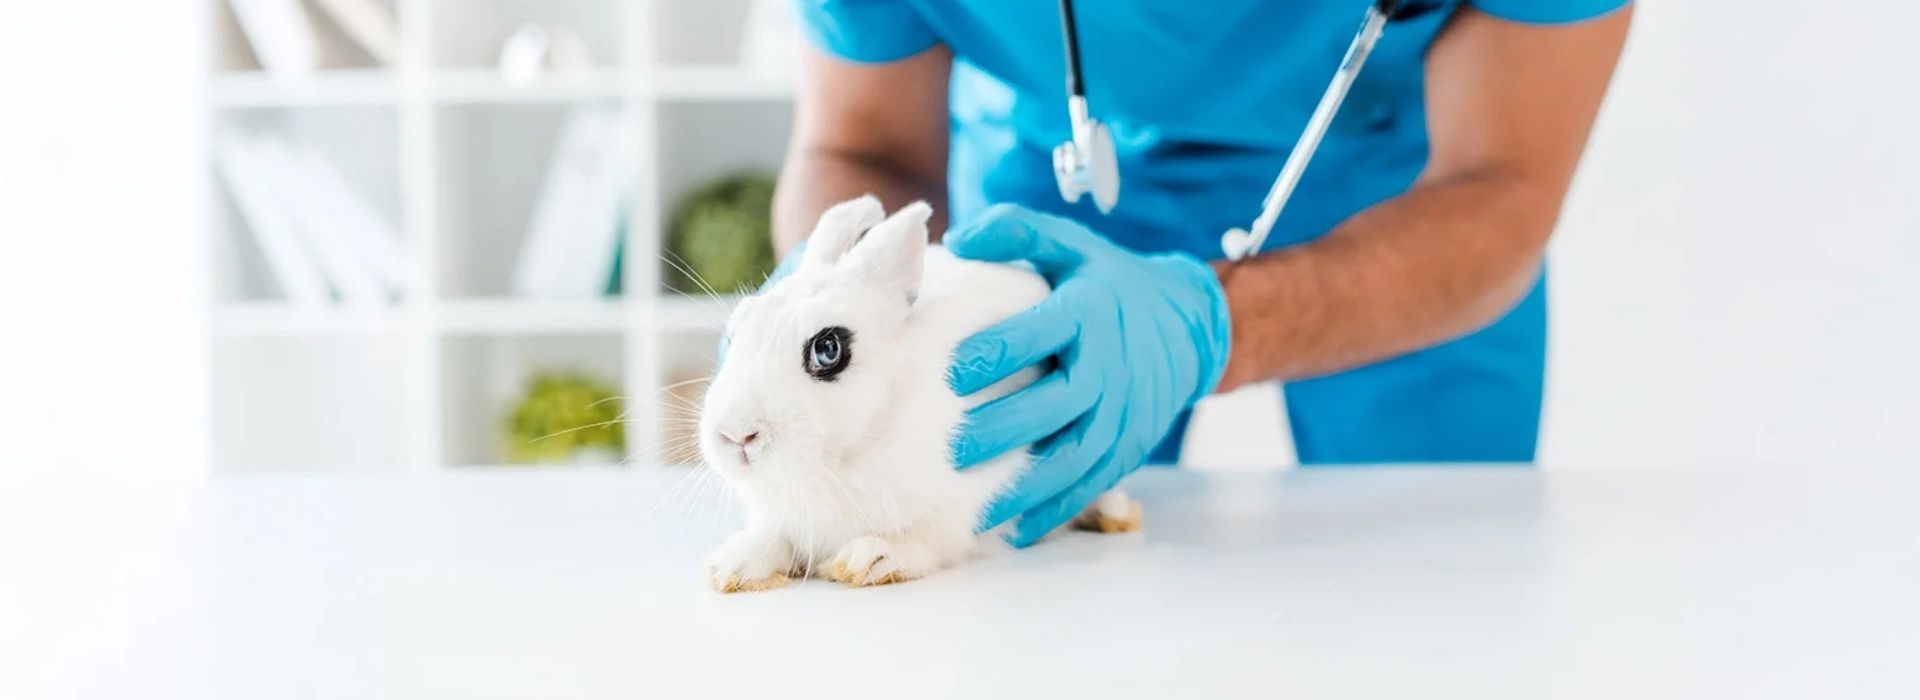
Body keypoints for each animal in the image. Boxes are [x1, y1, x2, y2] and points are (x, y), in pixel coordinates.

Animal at [698, 195, 1143, 593]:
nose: (735, 435)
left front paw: (872, 559)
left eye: (828, 349)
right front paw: (733, 566)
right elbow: (773, 538)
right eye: (735, 332)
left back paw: (1116, 516)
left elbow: (930, 541)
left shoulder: (973, 498)